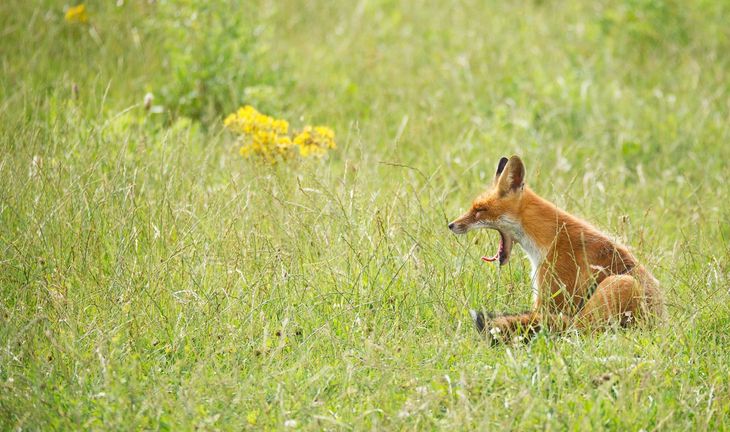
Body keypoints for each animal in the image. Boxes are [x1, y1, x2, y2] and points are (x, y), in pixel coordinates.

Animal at [448, 155, 666, 343]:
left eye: (479, 210)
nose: (451, 225)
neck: (547, 238)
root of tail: (658, 326)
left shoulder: (552, 295)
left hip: (619, 286)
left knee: (579, 330)